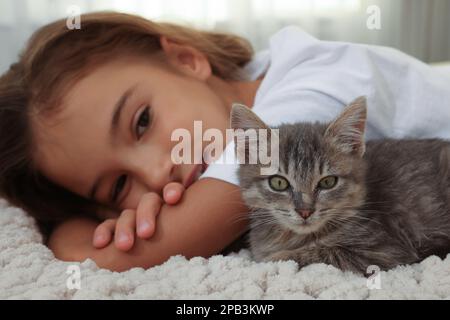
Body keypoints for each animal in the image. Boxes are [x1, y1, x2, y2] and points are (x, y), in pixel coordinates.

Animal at [230, 97, 450, 276]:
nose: (305, 211)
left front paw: (274, 259)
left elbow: (318, 252)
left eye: (328, 182)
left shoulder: (385, 249)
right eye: (278, 182)